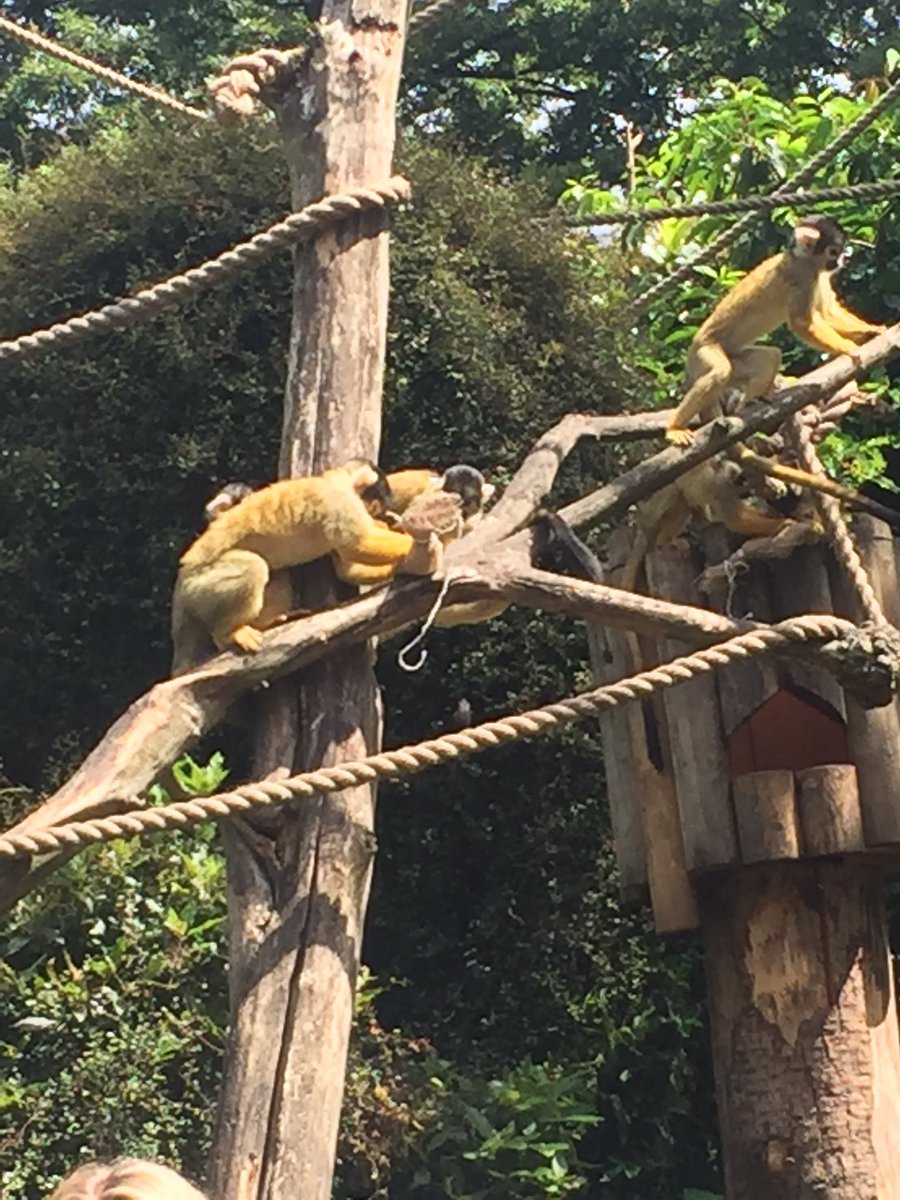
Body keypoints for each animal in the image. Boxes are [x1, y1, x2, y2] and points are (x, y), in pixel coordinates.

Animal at [171, 460, 441, 672]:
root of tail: (182, 576)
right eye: (375, 504)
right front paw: (420, 549)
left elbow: (347, 567)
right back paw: (228, 634)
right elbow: (358, 543)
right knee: (255, 565)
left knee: (275, 571)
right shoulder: (338, 502)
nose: (375, 514)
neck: (337, 481)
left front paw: (411, 562)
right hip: (201, 584)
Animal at [666, 214, 885, 448]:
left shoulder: (818, 276)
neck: (803, 260)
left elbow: (826, 311)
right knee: (721, 372)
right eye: (834, 251)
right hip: (702, 354)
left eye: (841, 251)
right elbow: (802, 323)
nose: (841, 261)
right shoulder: (801, 277)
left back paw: (750, 403)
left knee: (769, 356)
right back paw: (675, 427)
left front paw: (873, 330)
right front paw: (848, 348)